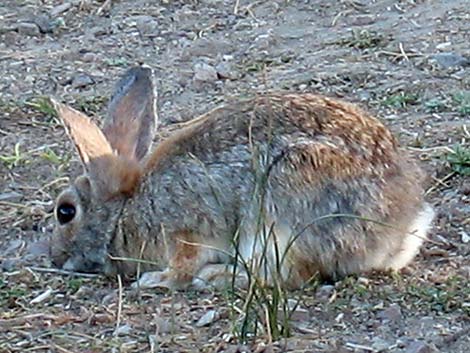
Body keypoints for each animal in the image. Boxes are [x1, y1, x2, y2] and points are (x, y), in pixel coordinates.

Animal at [49, 65, 436, 288]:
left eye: (65, 212)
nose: (54, 259)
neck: (126, 208)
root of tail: (397, 228)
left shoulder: (184, 229)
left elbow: (183, 265)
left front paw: (157, 280)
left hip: (283, 212)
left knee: (290, 275)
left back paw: (217, 277)